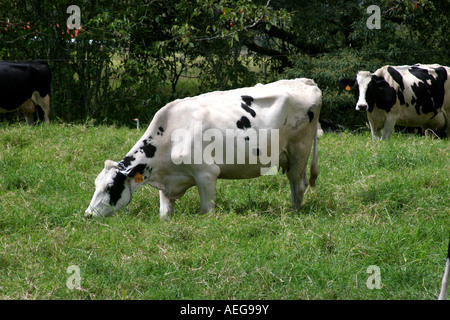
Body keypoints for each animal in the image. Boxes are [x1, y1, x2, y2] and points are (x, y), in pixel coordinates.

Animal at [84, 79, 322, 220]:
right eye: (96, 184)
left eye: (111, 187)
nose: (87, 214)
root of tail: (305, 81)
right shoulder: (166, 181)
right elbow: (164, 214)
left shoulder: (206, 174)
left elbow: (207, 211)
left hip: (299, 151)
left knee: (298, 184)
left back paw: (293, 213)